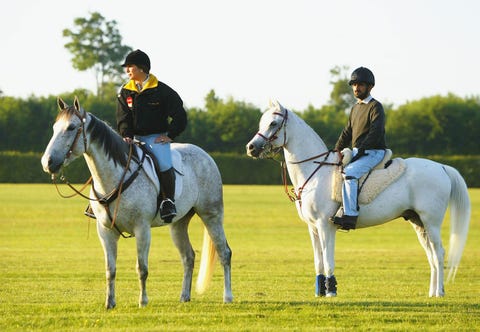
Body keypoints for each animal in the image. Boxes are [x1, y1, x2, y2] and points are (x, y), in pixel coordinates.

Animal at [41, 97, 232, 310]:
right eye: (55, 127)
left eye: (71, 127)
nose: (47, 162)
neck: (115, 177)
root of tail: (206, 156)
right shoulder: (106, 232)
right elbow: (110, 269)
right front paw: (110, 302)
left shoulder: (142, 229)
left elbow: (142, 268)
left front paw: (143, 301)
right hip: (178, 223)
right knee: (188, 257)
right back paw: (184, 296)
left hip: (211, 215)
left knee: (224, 253)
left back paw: (227, 296)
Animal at [246, 100, 470, 296]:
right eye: (262, 122)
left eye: (273, 123)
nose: (251, 148)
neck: (316, 171)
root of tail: (441, 167)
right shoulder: (313, 228)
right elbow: (318, 261)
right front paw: (319, 292)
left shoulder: (325, 226)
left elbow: (328, 261)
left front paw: (331, 291)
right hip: (418, 222)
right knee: (431, 255)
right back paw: (432, 292)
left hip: (431, 222)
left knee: (439, 253)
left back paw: (439, 292)